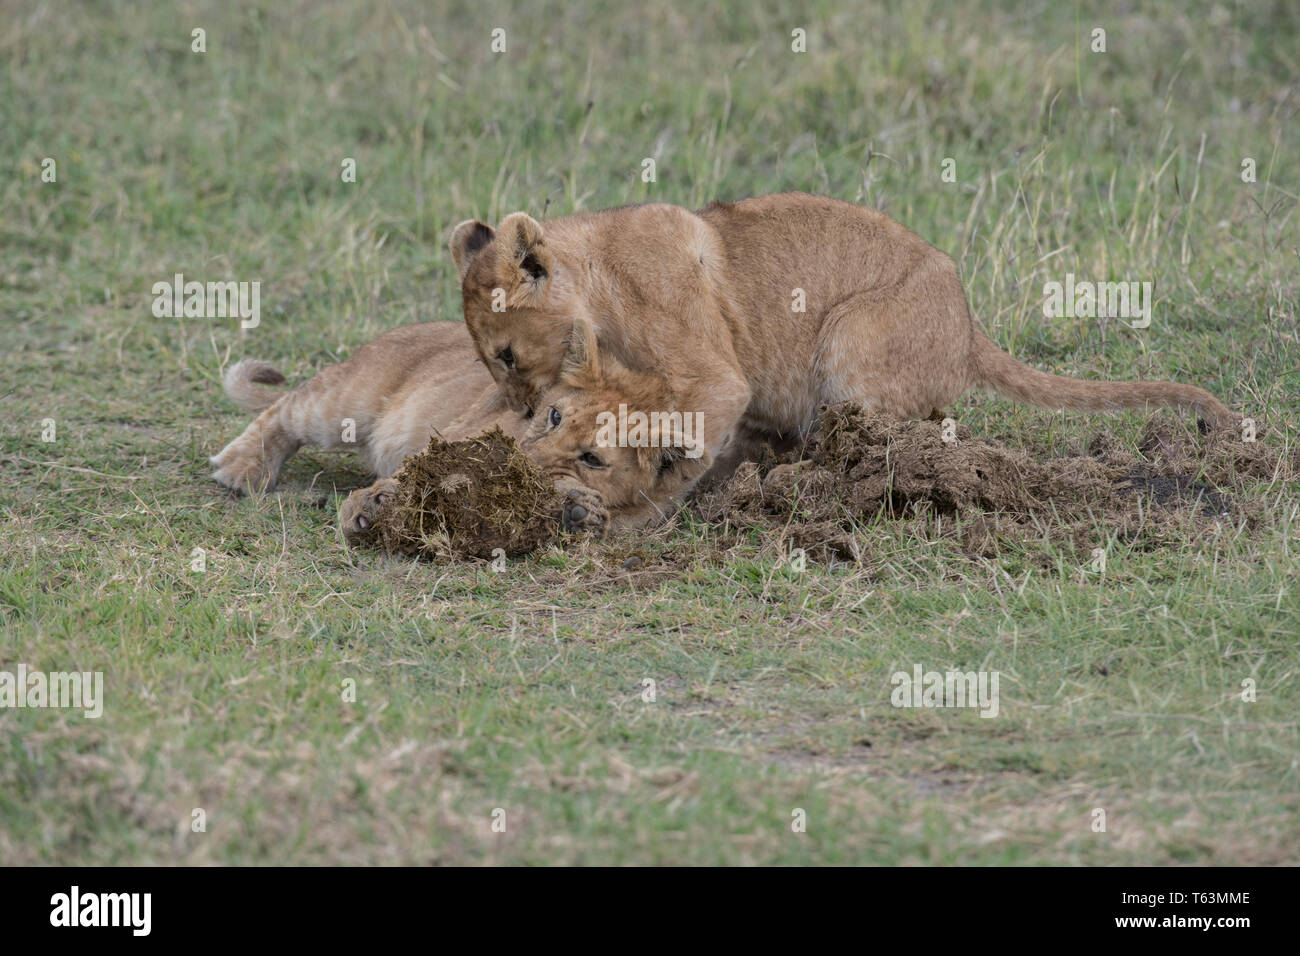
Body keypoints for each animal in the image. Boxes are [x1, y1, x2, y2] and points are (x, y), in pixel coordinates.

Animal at [450, 191, 1238, 533]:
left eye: (508, 354)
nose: (521, 415)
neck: (599, 280)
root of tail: (969, 327)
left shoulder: (714, 376)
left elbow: (680, 452)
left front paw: (634, 518)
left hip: (852, 338)